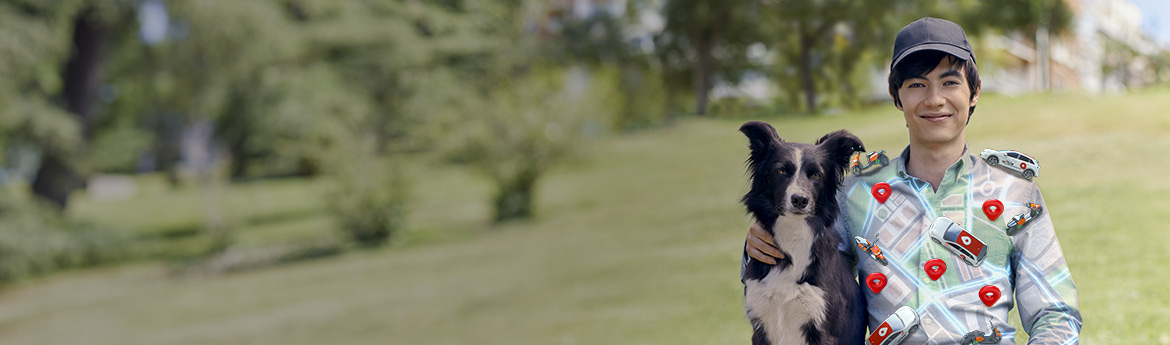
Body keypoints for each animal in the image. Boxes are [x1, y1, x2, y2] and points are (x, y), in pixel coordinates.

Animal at [739, 121, 870, 345]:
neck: (793, 232)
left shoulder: (822, 329)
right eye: (781, 171)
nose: (800, 200)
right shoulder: (760, 327)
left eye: (817, 175)